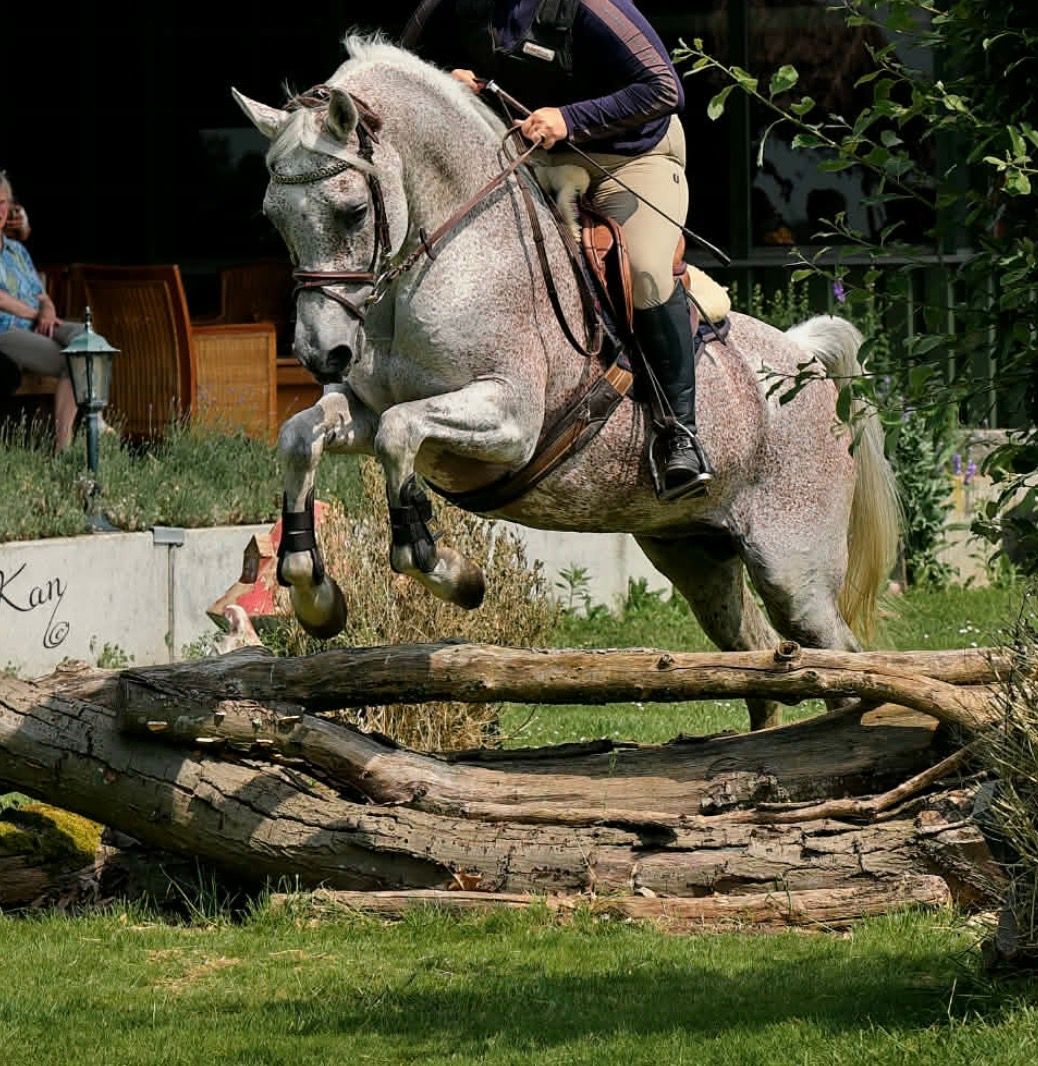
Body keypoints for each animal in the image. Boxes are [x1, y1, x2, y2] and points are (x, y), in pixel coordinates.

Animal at [232, 36, 900, 731]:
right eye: (272, 217)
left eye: (353, 211)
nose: (322, 352)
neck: (452, 252)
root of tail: (805, 360)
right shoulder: (363, 409)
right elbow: (301, 435)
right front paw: (313, 591)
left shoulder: (510, 423)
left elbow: (399, 433)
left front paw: (449, 571)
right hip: (695, 552)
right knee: (761, 654)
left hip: (794, 569)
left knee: (840, 659)